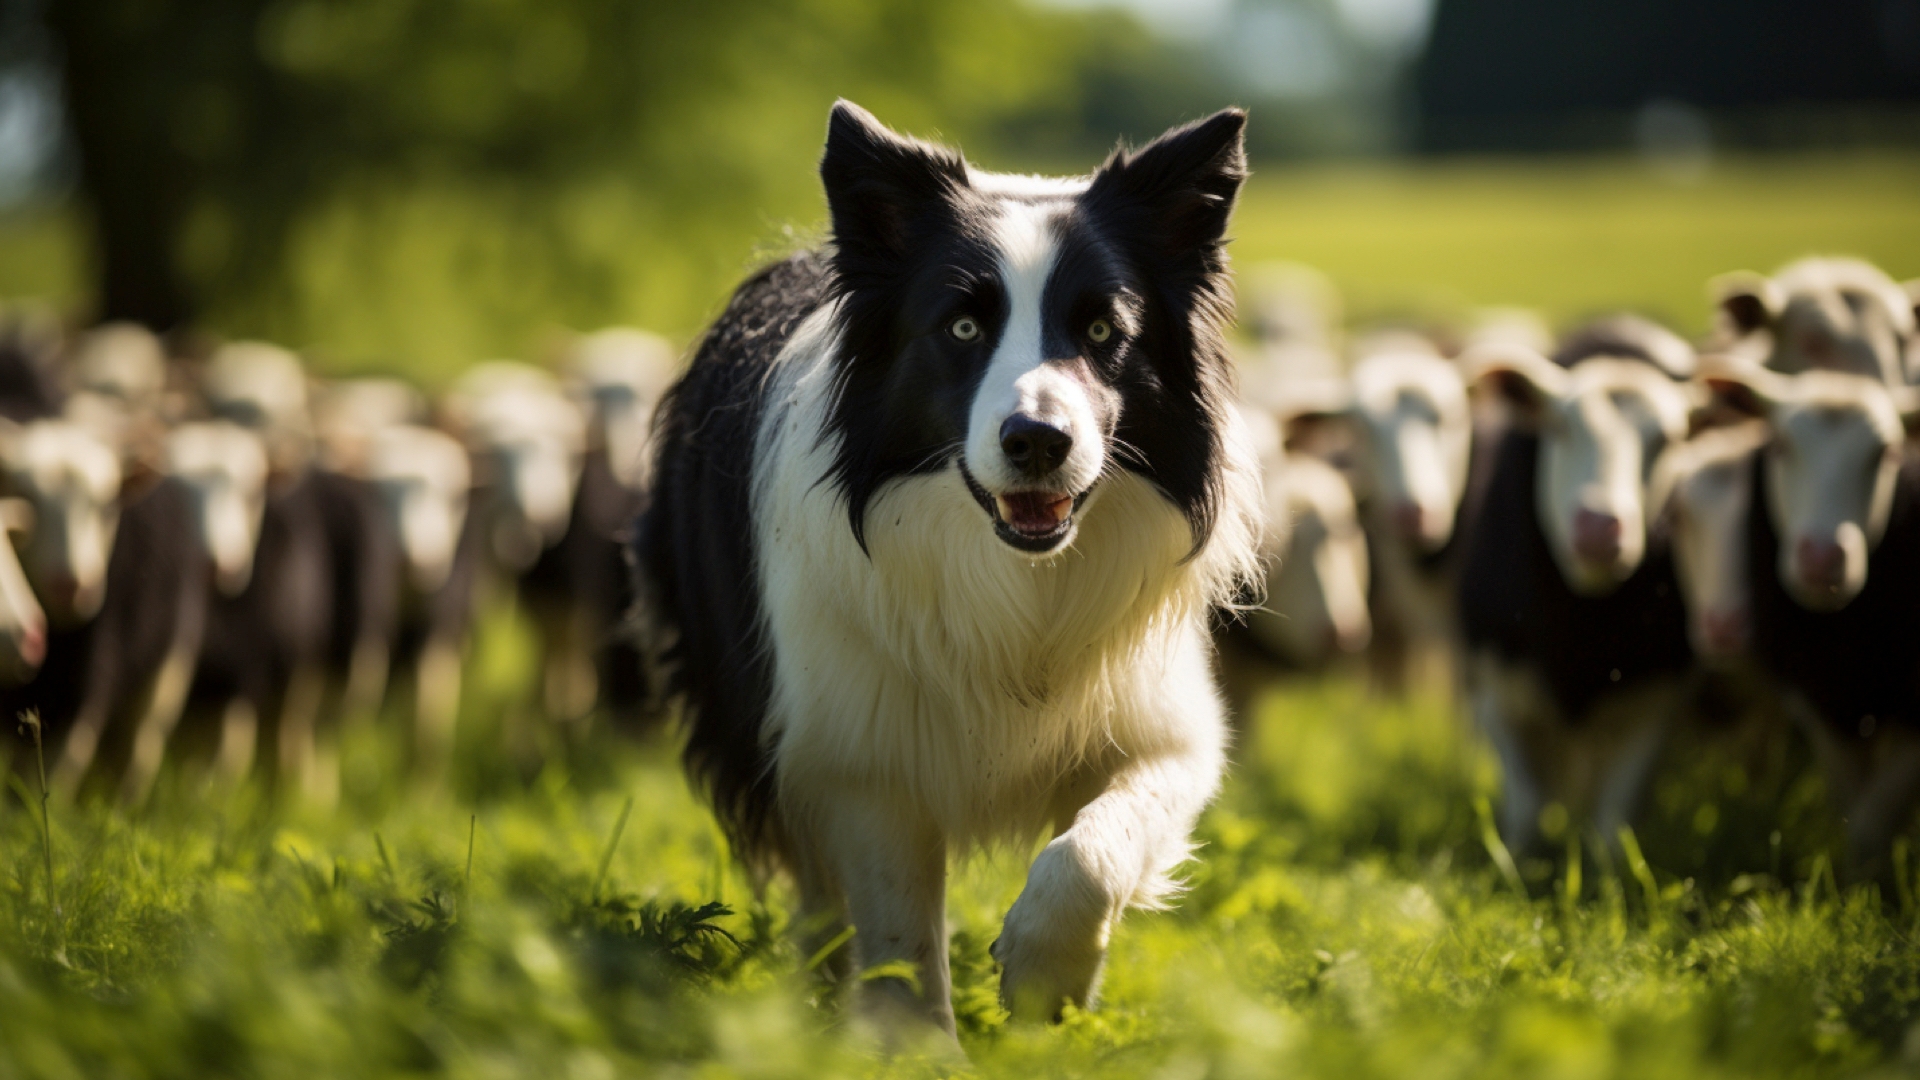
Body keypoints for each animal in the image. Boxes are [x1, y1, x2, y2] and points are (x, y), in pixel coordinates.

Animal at [633, 102, 1259, 1037]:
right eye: (962, 328)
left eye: (1102, 332)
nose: (1037, 442)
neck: (1013, 580)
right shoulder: (860, 749)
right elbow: (897, 927)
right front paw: (912, 1043)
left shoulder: (1162, 727)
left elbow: (1091, 853)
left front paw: (1048, 986)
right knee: (819, 892)